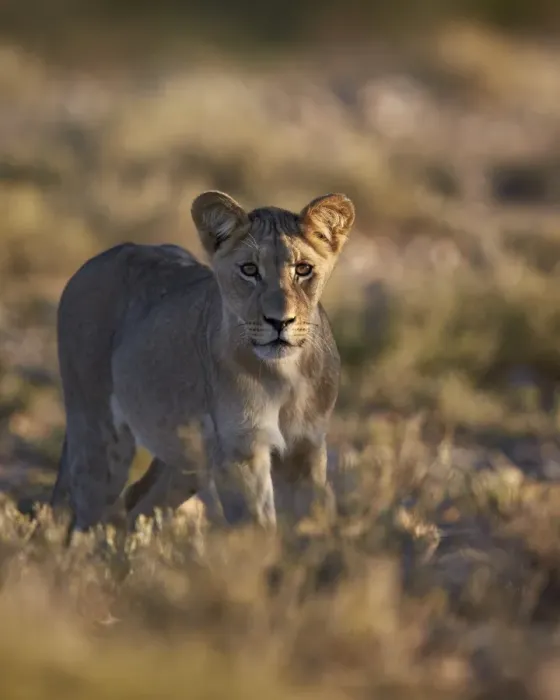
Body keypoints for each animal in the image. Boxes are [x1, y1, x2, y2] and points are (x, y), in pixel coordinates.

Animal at [50, 190, 355, 537]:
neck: (284, 374)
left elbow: (311, 519)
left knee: (137, 502)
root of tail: (95, 261)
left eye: (303, 269)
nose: (280, 321)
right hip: (99, 438)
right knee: (84, 522)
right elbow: (256, 526)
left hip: (187, 460)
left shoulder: (306, 445)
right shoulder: (239, 451)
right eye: (249, 269)